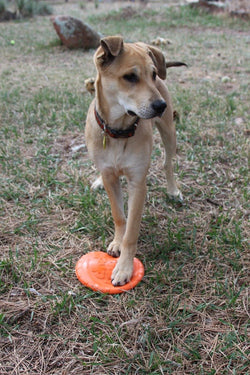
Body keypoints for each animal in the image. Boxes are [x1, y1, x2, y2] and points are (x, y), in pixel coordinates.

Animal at [85, 36, 184, 286]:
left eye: (153, 74)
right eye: (130, 76)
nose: (160, 106)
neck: (118, 132)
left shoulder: (138, 183)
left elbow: (131, 230)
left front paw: (124, 267)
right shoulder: (111, 178)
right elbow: (119, 216)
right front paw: (116, 242)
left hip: (169, 132)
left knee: (168, 163)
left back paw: (173, 190)